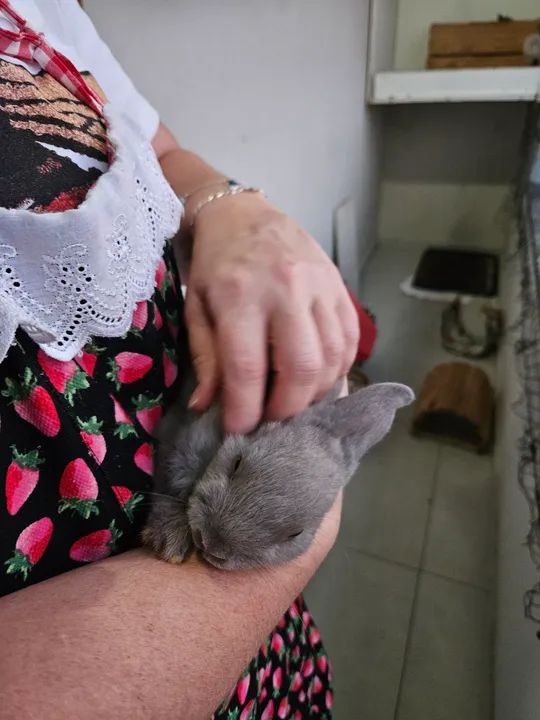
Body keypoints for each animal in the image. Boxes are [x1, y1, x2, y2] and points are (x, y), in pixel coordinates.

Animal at [142, 379, 414, 570]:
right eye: (237, 463)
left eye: (295, 534)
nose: (212, 544)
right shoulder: (178, 442)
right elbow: (169, 485)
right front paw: (171, 541)